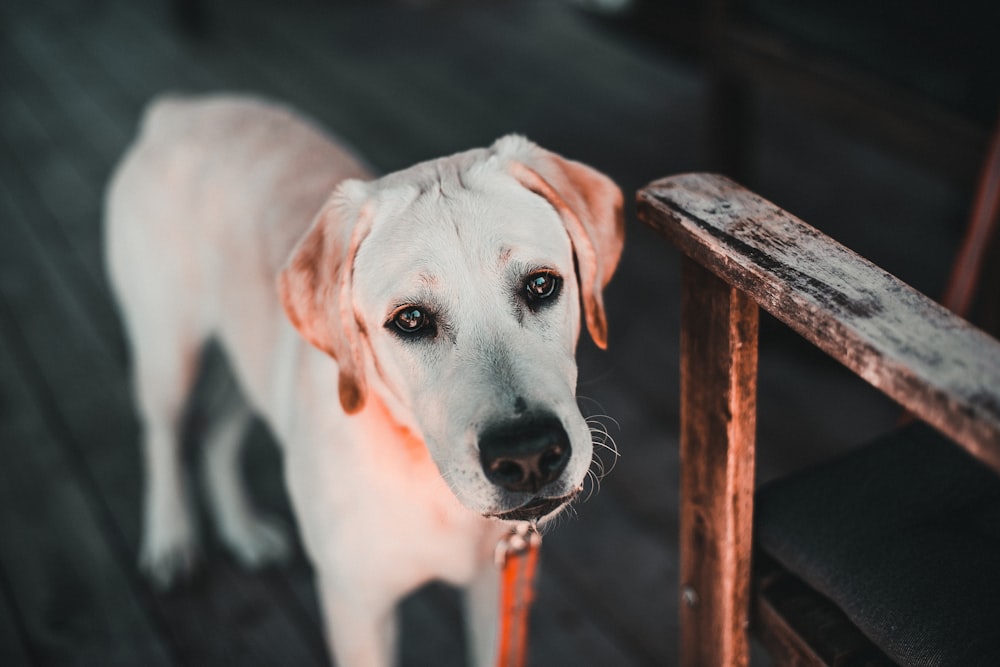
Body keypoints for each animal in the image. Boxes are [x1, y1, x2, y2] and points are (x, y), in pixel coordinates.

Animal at [101, 95, 616, 667]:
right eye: (410, 319)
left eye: (542, 285)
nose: (528, 457)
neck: (423, 473)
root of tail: (183, 107)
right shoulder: (356, 607)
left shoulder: (495, 595)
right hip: (167, 349)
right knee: (163, 436)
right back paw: (170, 539)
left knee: (215, 431)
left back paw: (243, 530)